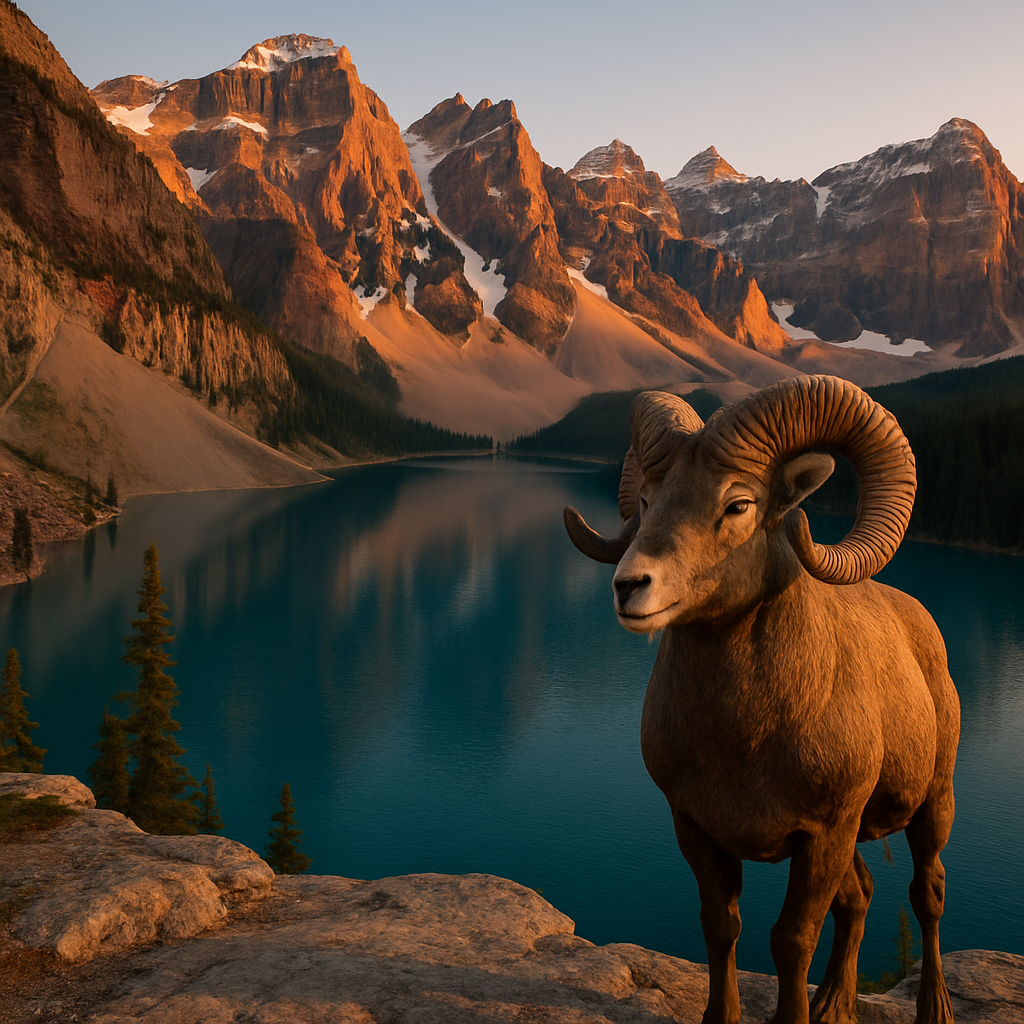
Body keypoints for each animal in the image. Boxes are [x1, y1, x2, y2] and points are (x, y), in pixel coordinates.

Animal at [563, 375, 959, 1024]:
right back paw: (834, 1006)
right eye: (646, 500)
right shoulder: (698, 830)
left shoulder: (822, 834)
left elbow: (792, 940)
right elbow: (721, 927)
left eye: (738, 505)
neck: (744, 739)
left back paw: (933, 1008)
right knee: (859, 898)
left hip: (931, 804)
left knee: (927, 895)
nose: (629, 586)